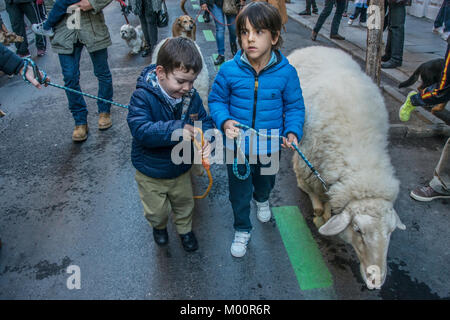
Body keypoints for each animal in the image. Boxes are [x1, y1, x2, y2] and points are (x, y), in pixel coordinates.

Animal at [288, 46, 408, 288]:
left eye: (391, 231)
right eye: (358, 230)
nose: (376, 281)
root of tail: (314, 47)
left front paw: (327, 213)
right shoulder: (308, 165)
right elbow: (314, 198)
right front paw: (320, 216)